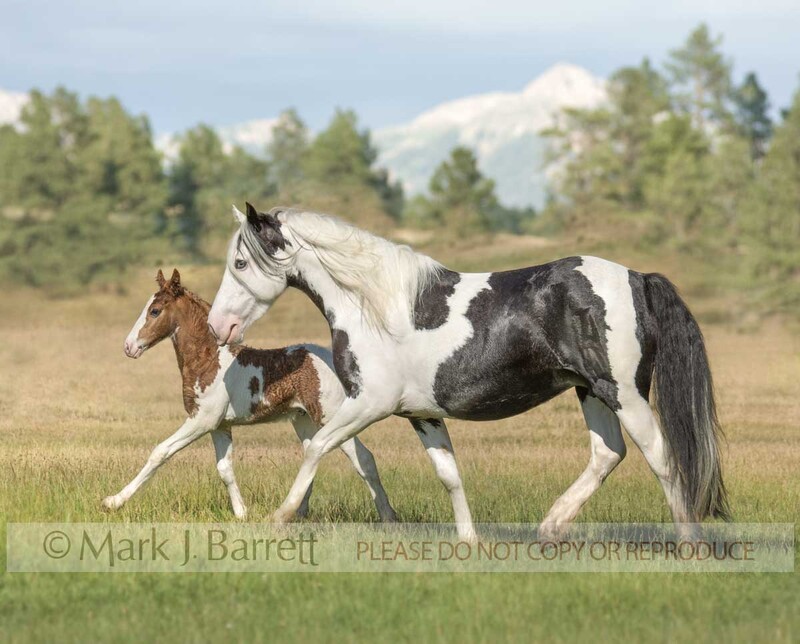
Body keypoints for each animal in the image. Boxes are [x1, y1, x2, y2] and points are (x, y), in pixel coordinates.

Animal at [102, 268, 397, 522]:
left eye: (155, 311)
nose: (129, 347)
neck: (209, 359)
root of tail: (331, 360)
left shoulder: (201, 420)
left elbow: (160, 452)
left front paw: (114, 501)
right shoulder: (219, 425)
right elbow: (224, 469)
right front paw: (242, 513)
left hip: (331, 415)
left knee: (364, 459)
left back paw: (388, 516)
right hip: (303, 419)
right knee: (313, 454)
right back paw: (297, 513)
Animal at [207, 203, 729, 541]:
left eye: (240, 262)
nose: (218, 326)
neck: (375, 307)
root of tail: (638, 278)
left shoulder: (368, 405)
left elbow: (316, 447)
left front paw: (281, 517)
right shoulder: (422, 414)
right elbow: (450, 475)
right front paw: (468, 542)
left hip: (624, 393)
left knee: (661, 457)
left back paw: (688, 543)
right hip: (591, 391)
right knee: (608, 454)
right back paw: (550, 526)